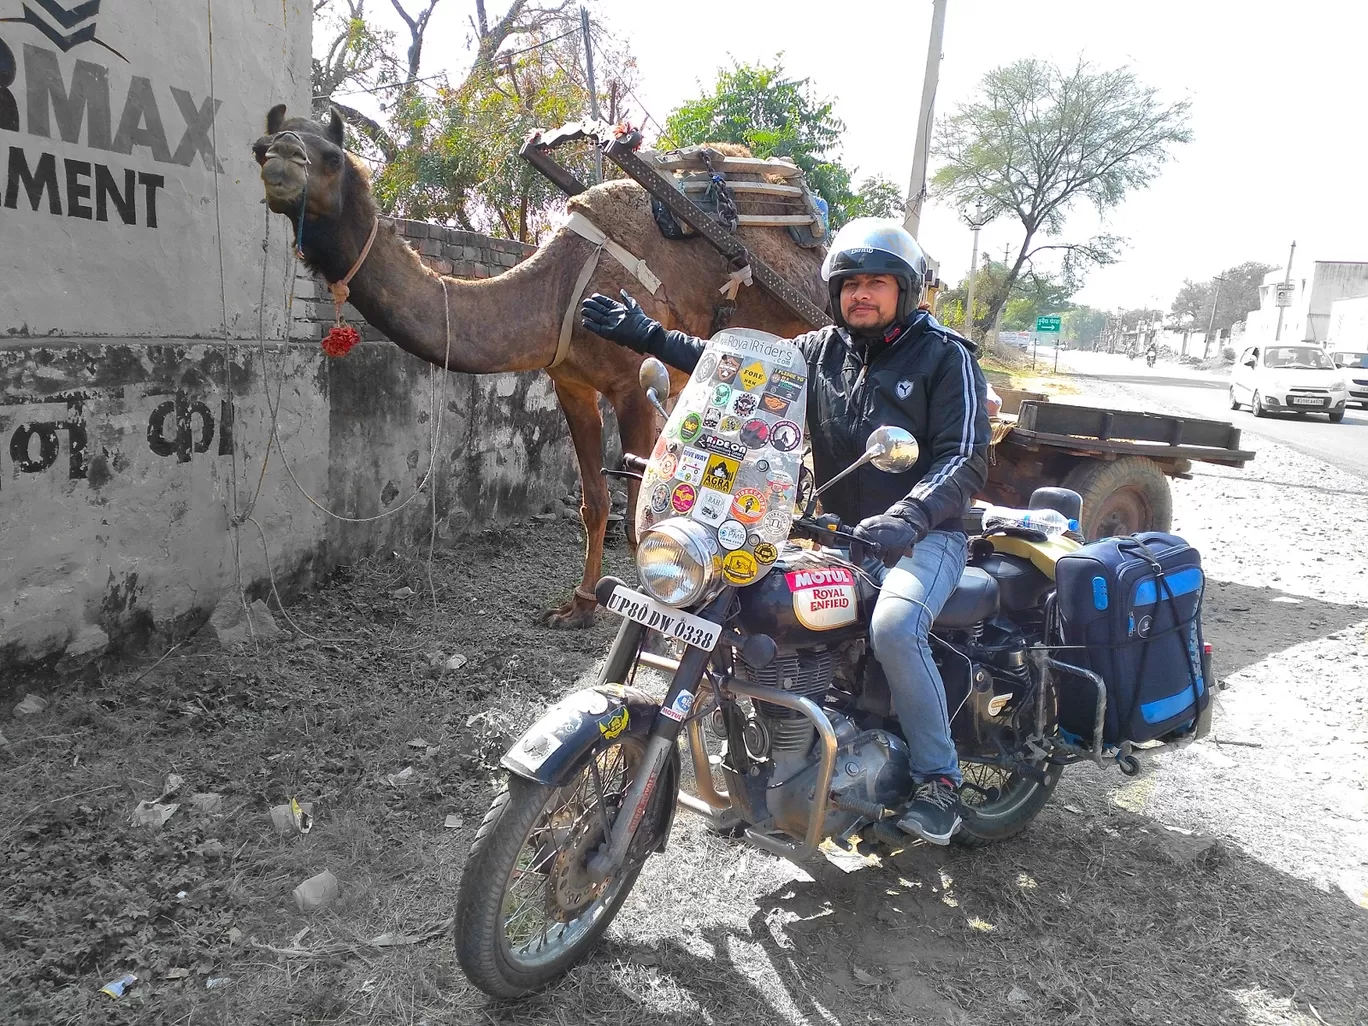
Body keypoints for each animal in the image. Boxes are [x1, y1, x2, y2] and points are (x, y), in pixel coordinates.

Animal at [257, 108, 826, 632]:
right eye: (261, 147)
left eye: (332, 157)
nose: (280, 161)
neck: (560, 290)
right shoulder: (570, 384)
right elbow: (594, 502)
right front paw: (578, 606)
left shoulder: (630, 385)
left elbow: (638, 509)